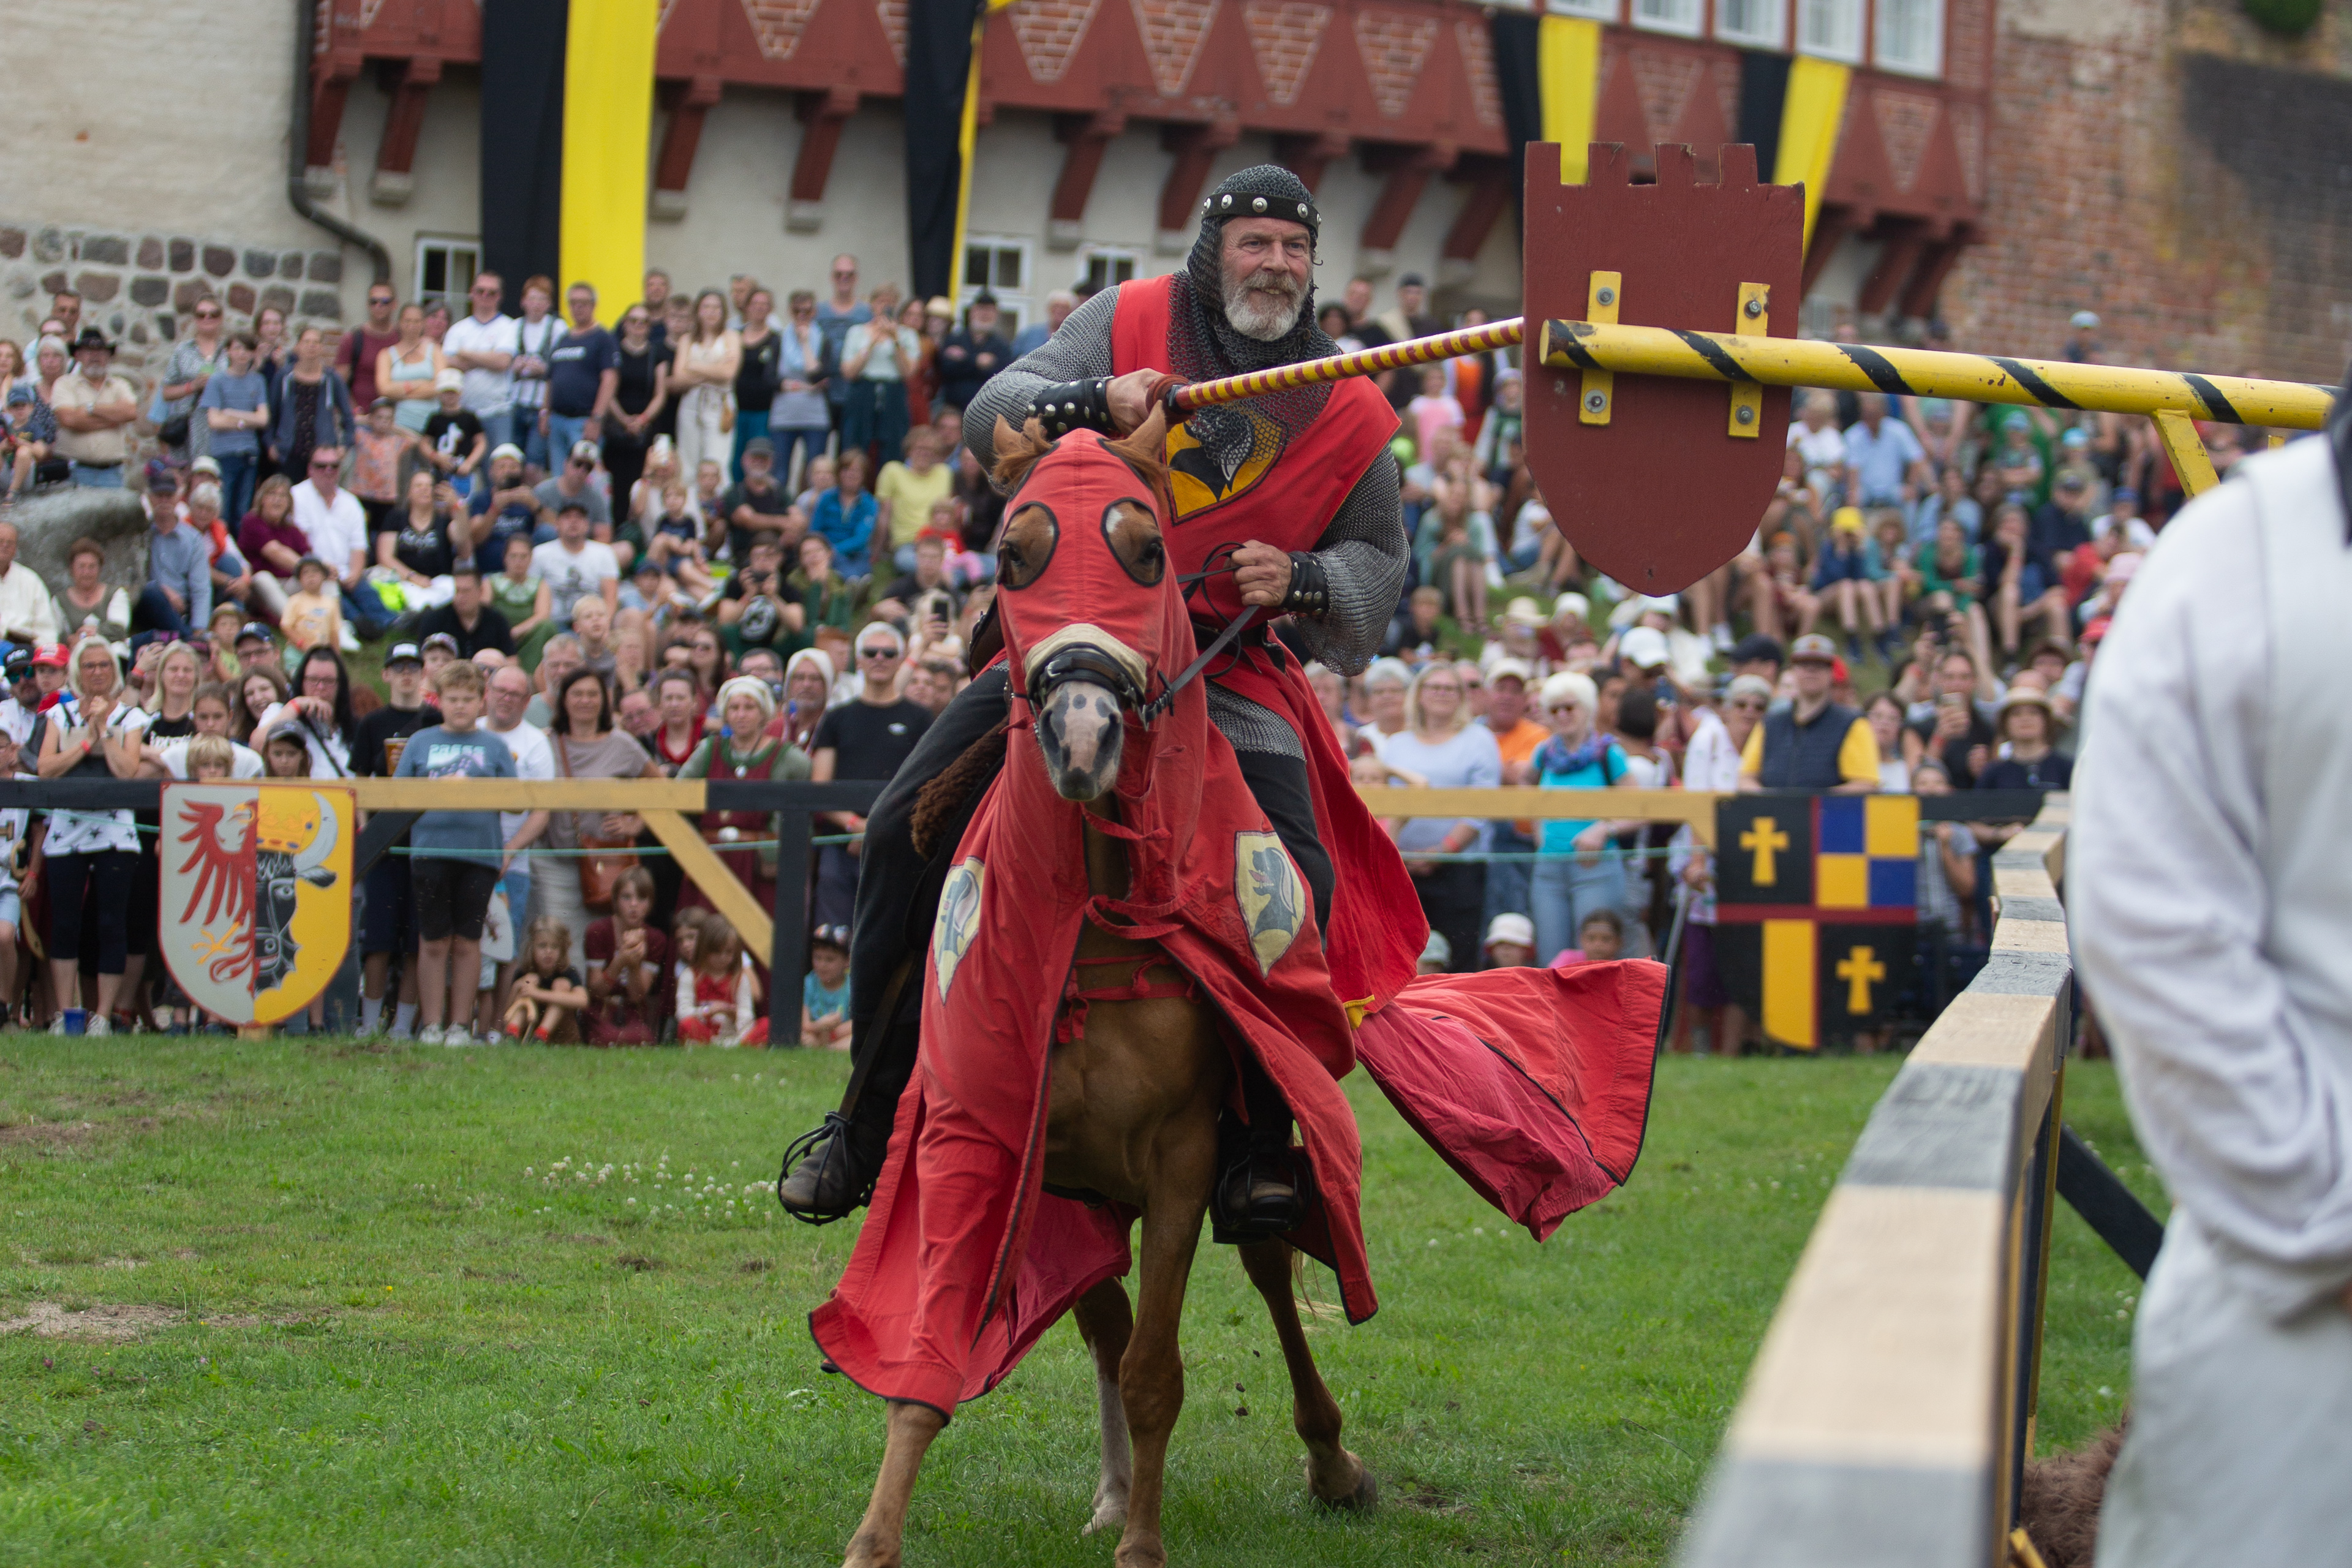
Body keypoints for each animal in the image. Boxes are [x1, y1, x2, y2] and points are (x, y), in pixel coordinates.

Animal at [836, 407, 1374, 1568]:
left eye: (1145, 552)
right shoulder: (988, 1136)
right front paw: (875, 1538)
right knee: (1103, 1317)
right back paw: (1116, 1489)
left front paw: (1144, 1547)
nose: (1081, 738)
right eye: (1012, 556)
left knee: (1268, 1269)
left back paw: (1330, 1461)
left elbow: (1157, 1371)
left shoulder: (1182, 1165)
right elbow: (936, 1356)